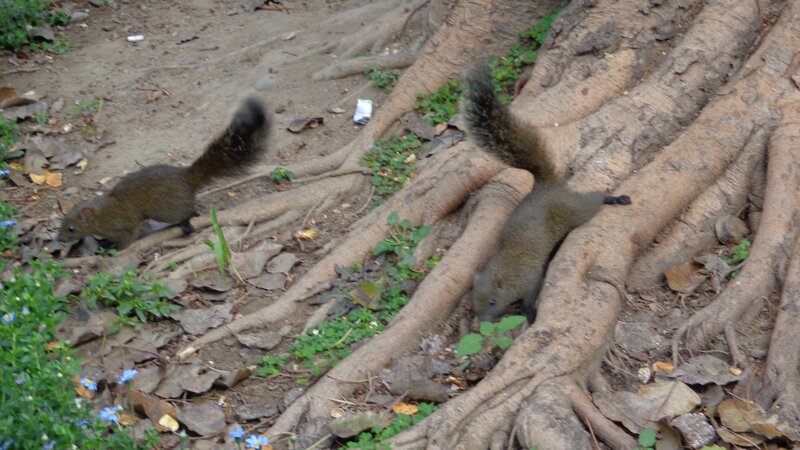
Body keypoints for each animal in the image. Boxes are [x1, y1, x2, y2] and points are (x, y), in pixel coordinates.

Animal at [57, 97, 270, 249]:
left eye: (71, 228)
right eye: (62, 223)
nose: (59, 239)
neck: (101, 214)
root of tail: (186, 178)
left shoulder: (122, 227)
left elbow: (126, 240)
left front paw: (112, 250)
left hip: (165, 209)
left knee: (184, 212)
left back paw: (185, 223)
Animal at [464, 65, 630, 323]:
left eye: (493, 301)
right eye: (474, 303)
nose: (482, 323)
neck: (506, 269)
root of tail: (545, 187)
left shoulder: (530, 277)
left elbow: (531, 295)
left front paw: (530, 313)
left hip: (573, 210)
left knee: (592, 200)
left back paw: (614, 198)